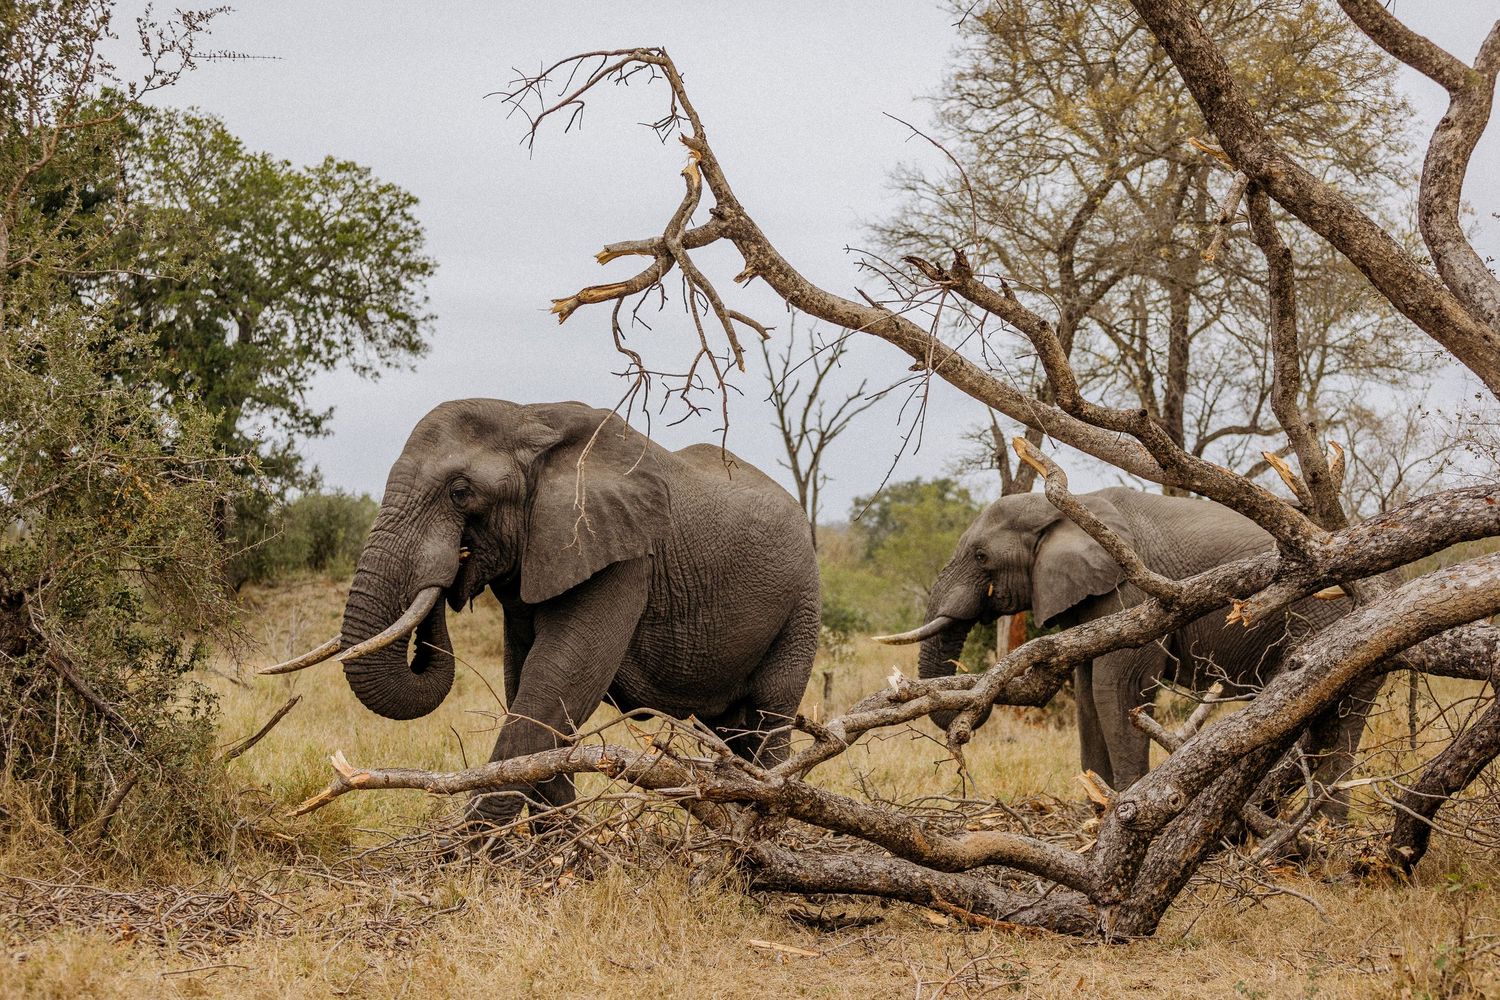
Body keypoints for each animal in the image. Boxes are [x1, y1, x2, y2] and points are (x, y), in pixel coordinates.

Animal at [266, 399, 820, 826]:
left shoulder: (622, 556)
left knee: (769, 712)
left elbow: (557, 679)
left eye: (460, 493)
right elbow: (528, 684)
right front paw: (562, 849)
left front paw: (466, 856)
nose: (452, 566)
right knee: (732, 729)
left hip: (803, 602)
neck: (530, 419)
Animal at [877, 486, 1361, 802]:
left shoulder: (1132, 591)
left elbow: (1116, 691)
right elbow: (1088, 696)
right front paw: (1094, 814)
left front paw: (1122, 809)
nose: (965, 727)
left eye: (981, 557)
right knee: (1341, 728)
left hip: (1319, 617)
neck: (1070, 506)